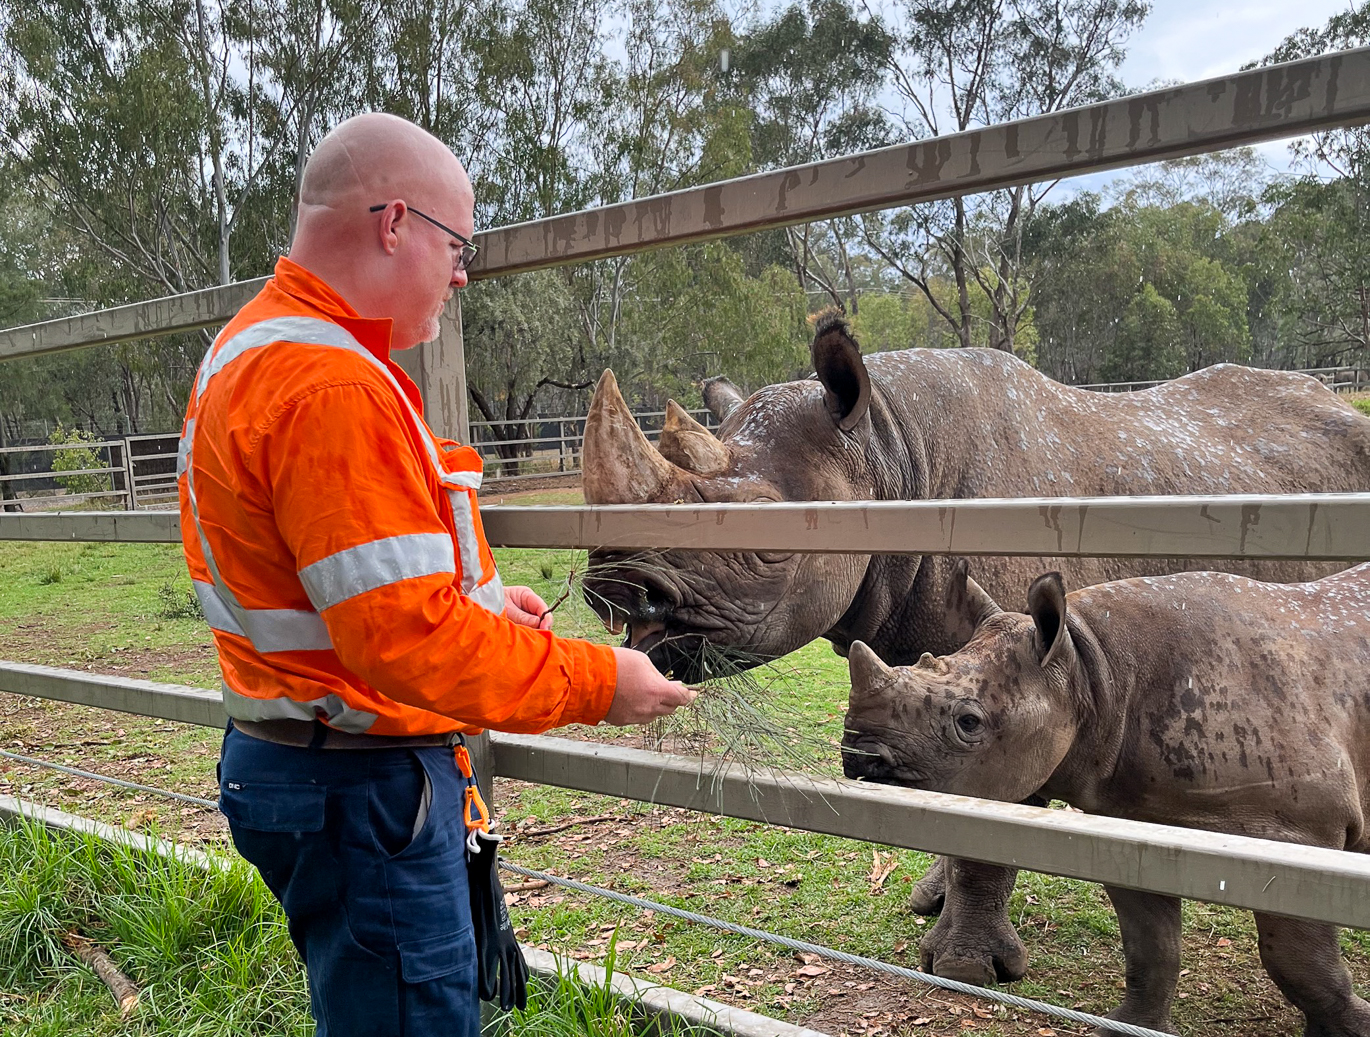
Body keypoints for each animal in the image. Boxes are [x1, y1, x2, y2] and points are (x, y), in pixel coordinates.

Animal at [580, 314, 1370, 985]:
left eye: (763, 542)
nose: (613, 587)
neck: (889, 454)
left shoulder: (1030, 676)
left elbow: (990, 819)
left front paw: (966, 967)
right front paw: (934, 897)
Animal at [842, 559, 1370, 1037]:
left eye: (968, 722)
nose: (860, 758)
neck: (1092, 667)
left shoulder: (1300, 830)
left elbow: (1296, 955)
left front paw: (1350, 1029)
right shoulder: (1130, 821)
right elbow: (1149, 944)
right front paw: (1131, 1028)